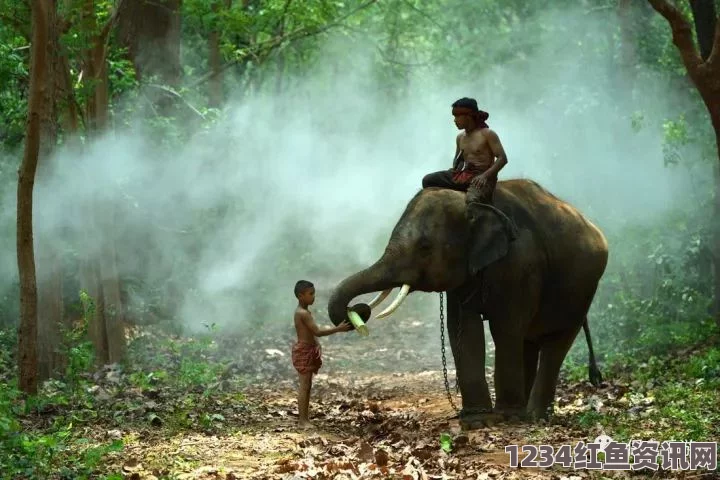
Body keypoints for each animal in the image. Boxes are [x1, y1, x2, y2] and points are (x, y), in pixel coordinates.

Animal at [330, 178, 612, 430]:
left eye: (424, 247)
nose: (358, 311)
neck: (473, 205)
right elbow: (464, 328)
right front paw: (477, 420)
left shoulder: (522, 265)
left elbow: (504, 328)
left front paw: (506, 418)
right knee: (529, 342)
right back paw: (527, 412)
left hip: (583, 290)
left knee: (556, 342)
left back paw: (534, 416)